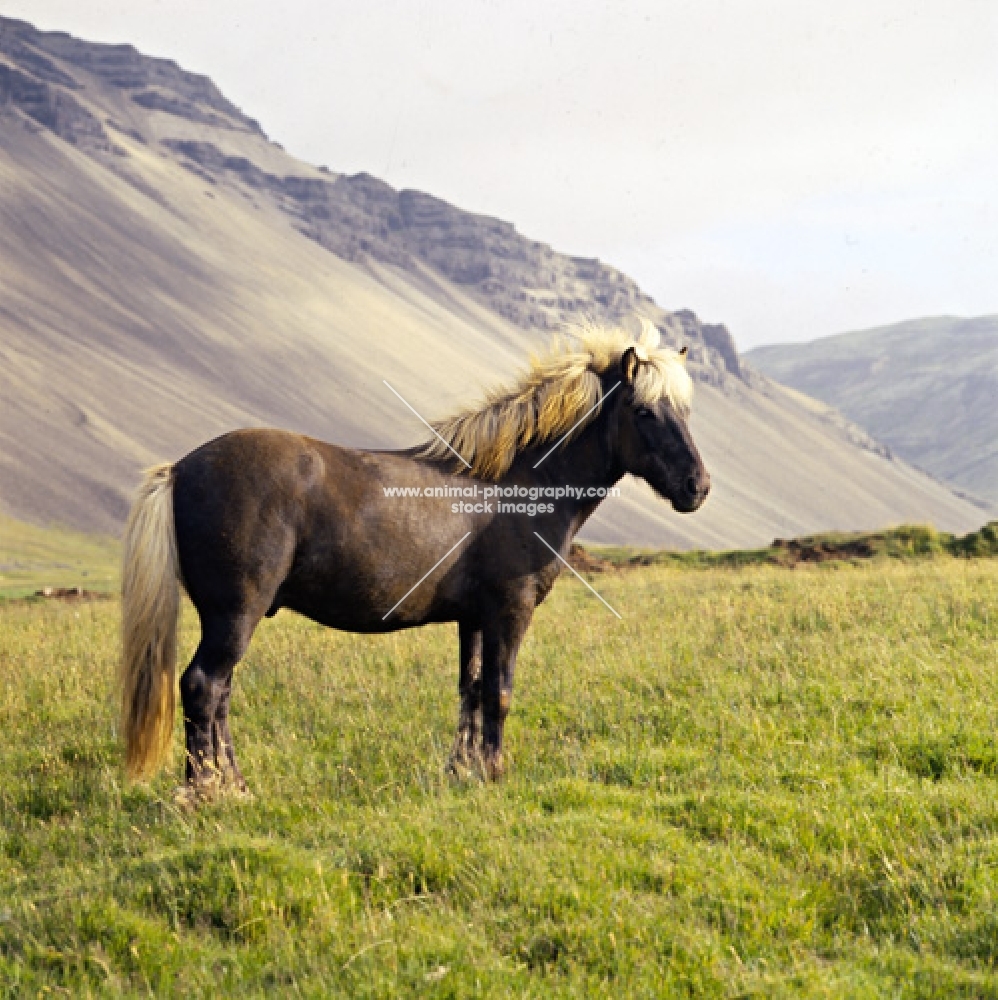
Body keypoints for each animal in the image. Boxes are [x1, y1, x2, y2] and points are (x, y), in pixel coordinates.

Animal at [119, 320, 712, 796]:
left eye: (684, 412)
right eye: (643, 411)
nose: (697, 487)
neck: (518, 482)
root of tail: (181, 468)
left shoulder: (473, 619)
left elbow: (470, 692)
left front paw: (463, 772)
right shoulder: (509, 611)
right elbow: (499, 692)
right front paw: (495, 775)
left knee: (219, 695)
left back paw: (234, 785)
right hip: (234, 615)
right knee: (203, 687)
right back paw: (206, 792)